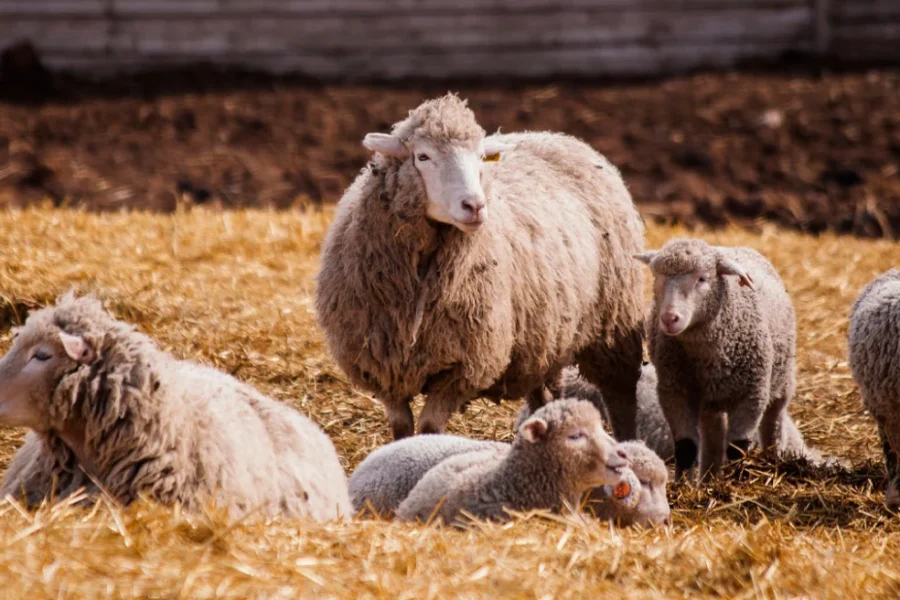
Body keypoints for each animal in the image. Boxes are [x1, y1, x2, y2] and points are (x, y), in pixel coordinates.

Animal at [316, 92, 648, 440]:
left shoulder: (464, 367)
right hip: (542, 339)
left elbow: (431, 427)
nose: (474, 206)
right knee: (546, 395)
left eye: (479, 158)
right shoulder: (383, 367)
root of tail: (558, 137)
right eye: (423, 157)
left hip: (614, 323)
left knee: (621, 396)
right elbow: (401, 428)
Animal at [636, 237, 800, 480]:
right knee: (713, 438)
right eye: (657, 277)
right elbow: (686, 447)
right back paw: (708, 478)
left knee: (774, 421)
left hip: (782, 379)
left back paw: (773, 457)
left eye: (702, 278)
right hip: (709, 400)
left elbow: (737, 448)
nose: (669, 318)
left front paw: (735, 479)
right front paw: (683, 484)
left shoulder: (752, 395)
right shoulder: (674, 392)